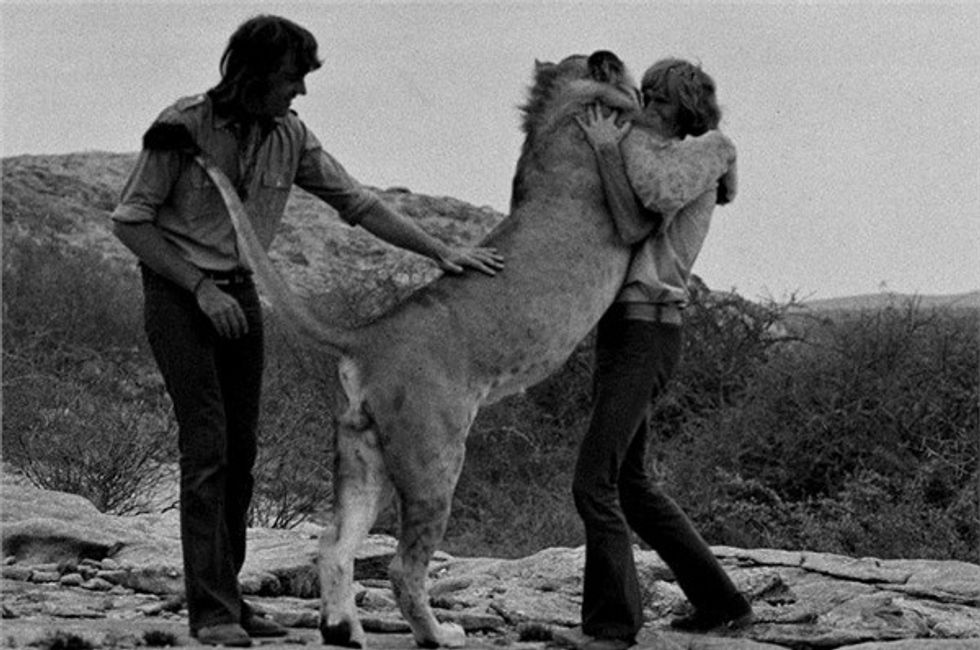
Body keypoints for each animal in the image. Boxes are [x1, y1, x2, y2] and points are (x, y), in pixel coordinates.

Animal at [197, 49, 736, 644]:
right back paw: (439, 634)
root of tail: (369, 334)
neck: (560, 108)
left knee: (334, 544)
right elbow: (662, 182)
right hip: (435, 457)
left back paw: (345, 631)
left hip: (362, 454)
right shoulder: (633, 167)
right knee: (402, 567)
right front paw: (722, 156)